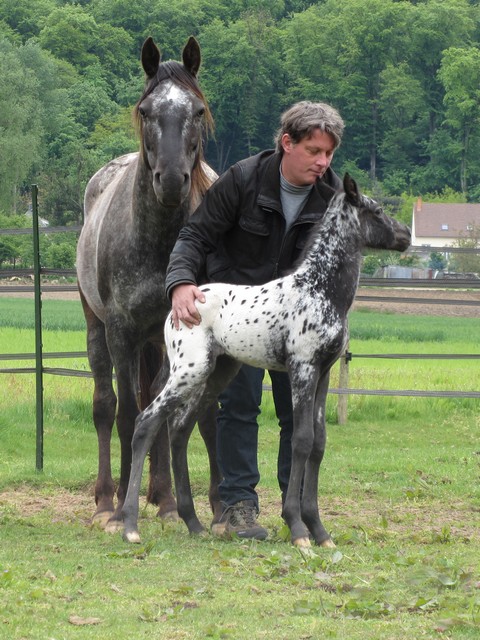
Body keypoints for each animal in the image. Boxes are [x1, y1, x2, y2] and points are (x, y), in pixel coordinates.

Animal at [77, 37, 221, 532]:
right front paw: (122, 505)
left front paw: (168, 501)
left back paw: (160, 494)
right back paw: (106, 497)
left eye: (197, 110)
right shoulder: (121, 331)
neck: (157, 241)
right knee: (104, 406)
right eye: (145, 110)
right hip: (96, 328)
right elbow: (125, 414)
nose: (173, 180)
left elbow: (156, 411)